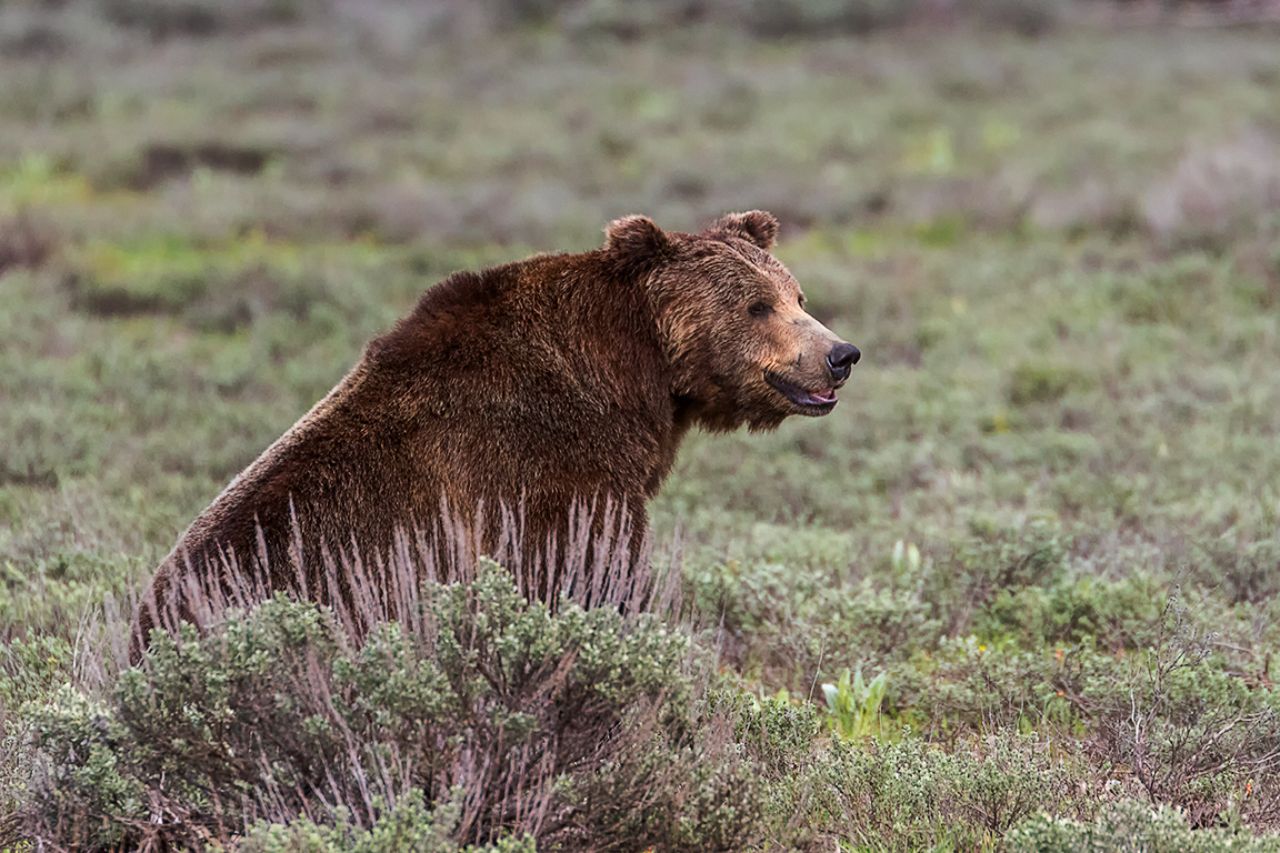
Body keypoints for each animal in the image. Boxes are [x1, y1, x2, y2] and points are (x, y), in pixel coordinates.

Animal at [131, 210, 859, 657]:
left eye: (797, 295)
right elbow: (581, 570)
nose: (840, 353)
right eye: (756, 305)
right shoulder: (541, 468)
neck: (631, 374)